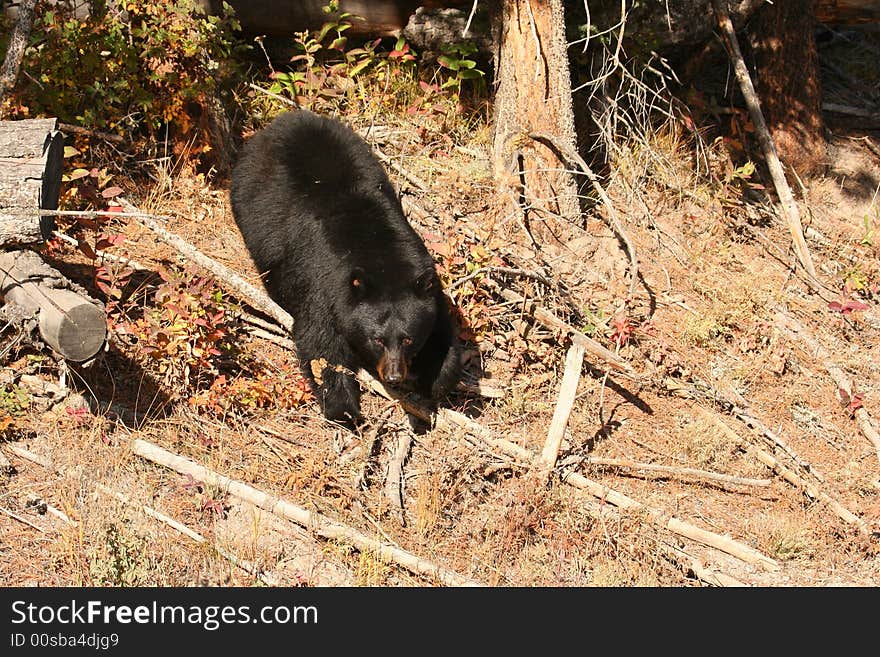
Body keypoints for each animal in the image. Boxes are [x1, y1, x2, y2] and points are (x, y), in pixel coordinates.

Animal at [229, 109, 460, 426]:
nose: (394, 376)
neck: (381, 255)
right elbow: (322, 345)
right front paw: (344, 408)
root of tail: (286, 118)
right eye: (377, 339)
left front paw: (435, 379)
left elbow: (443, 333)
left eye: (408, 338)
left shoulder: (428, 284)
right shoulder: (322, 286)